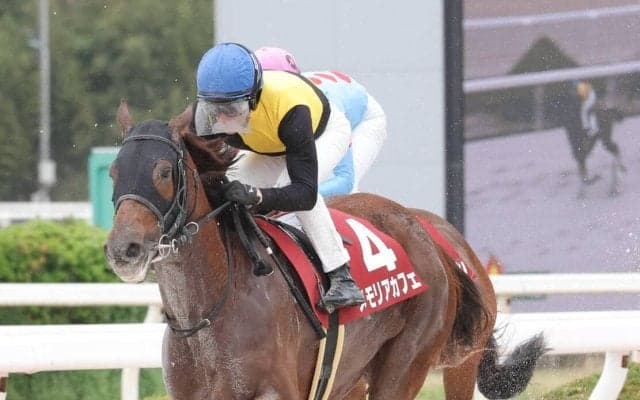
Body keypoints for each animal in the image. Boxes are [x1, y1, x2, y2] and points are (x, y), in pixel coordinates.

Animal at [105, 101, 545, 399]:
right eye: (113, 171)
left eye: (164, 171)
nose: (123, 248)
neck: (209, 310)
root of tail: (429, 232)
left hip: (418, 361)